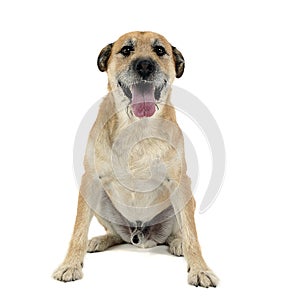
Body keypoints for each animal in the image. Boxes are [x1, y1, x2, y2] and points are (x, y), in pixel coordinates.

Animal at [52, 30, 218, 288]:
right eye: (126, 50)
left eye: (160, 50)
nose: (144, 65)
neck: (136, 128)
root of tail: (140, 235)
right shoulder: (91, 181)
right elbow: (78, 230)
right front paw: (70, 264)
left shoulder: (180, 183)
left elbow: (192, 234)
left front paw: (199, 268)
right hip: (99, 202)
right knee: (115, 235)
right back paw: (99, 240)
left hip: (184, 201)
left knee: (178, 232)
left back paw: (177, 243)